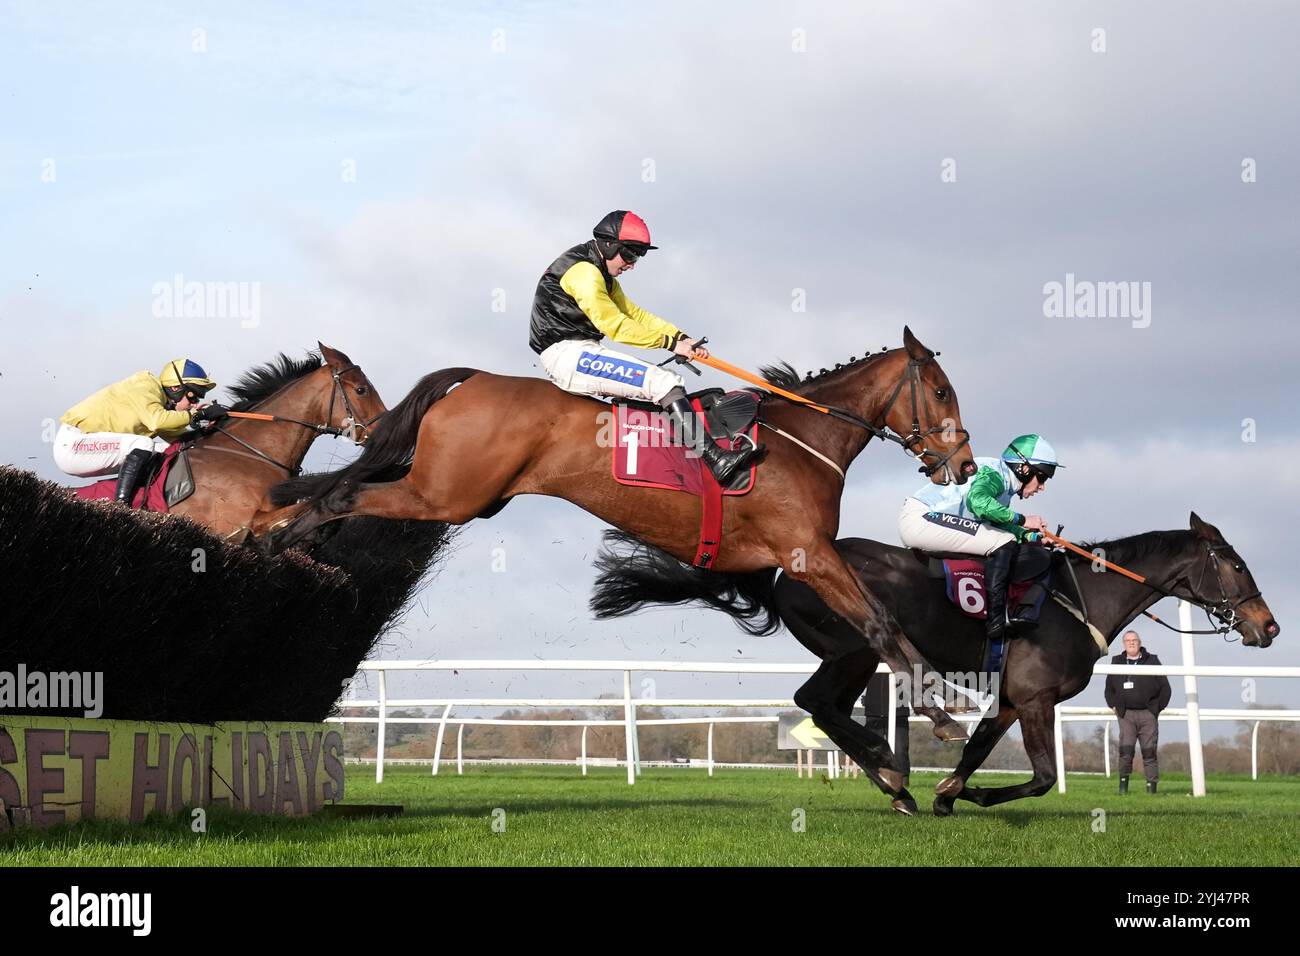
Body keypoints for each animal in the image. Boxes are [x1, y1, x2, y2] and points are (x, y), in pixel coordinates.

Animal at [256, 329, 977, 770]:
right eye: (942, 390)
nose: (964, 464)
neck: (800, 439)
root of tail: (476, 378)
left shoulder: (787, 561)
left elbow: (872, 627)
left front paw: (930, 714)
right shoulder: (808, 550)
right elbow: (880, 622)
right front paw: (941, 712)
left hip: (458, 493)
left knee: (342, 492)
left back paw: (285, 542)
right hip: (445, 495)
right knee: (343, 496)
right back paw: (281, 549)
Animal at [590, 515, 1279, 816]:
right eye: (1237, 564)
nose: (1269, 627)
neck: (1076, 597)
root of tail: (787, 562)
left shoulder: (1012, 699)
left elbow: (979, 749)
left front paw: (950, 791)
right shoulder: (1034, 698)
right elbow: (1042, 775)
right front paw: (964, 792)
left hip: (852, 653)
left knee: (821, 704)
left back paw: (893, 780)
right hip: (858, 645)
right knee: (821, 703)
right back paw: (890, 768)